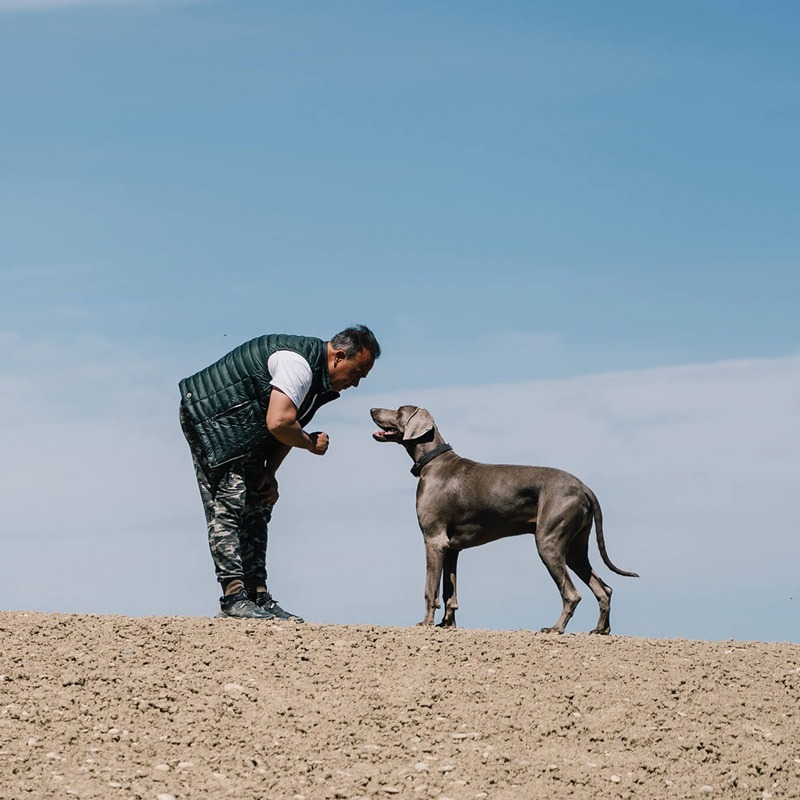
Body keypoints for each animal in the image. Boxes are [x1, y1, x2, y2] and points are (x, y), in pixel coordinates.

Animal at [372, 406, 640, 636]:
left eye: (399, 410)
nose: (372, 409)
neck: (434, 461)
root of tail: (584, 488)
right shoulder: (451, 548)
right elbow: (450, 592)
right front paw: (446, 625)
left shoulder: (434, 540)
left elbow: (431, 589)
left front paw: (425, 623)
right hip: (575, 549)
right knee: (604, 589)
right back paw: (600, 629)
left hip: (549, 542)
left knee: (572, 593)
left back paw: (555, 628)